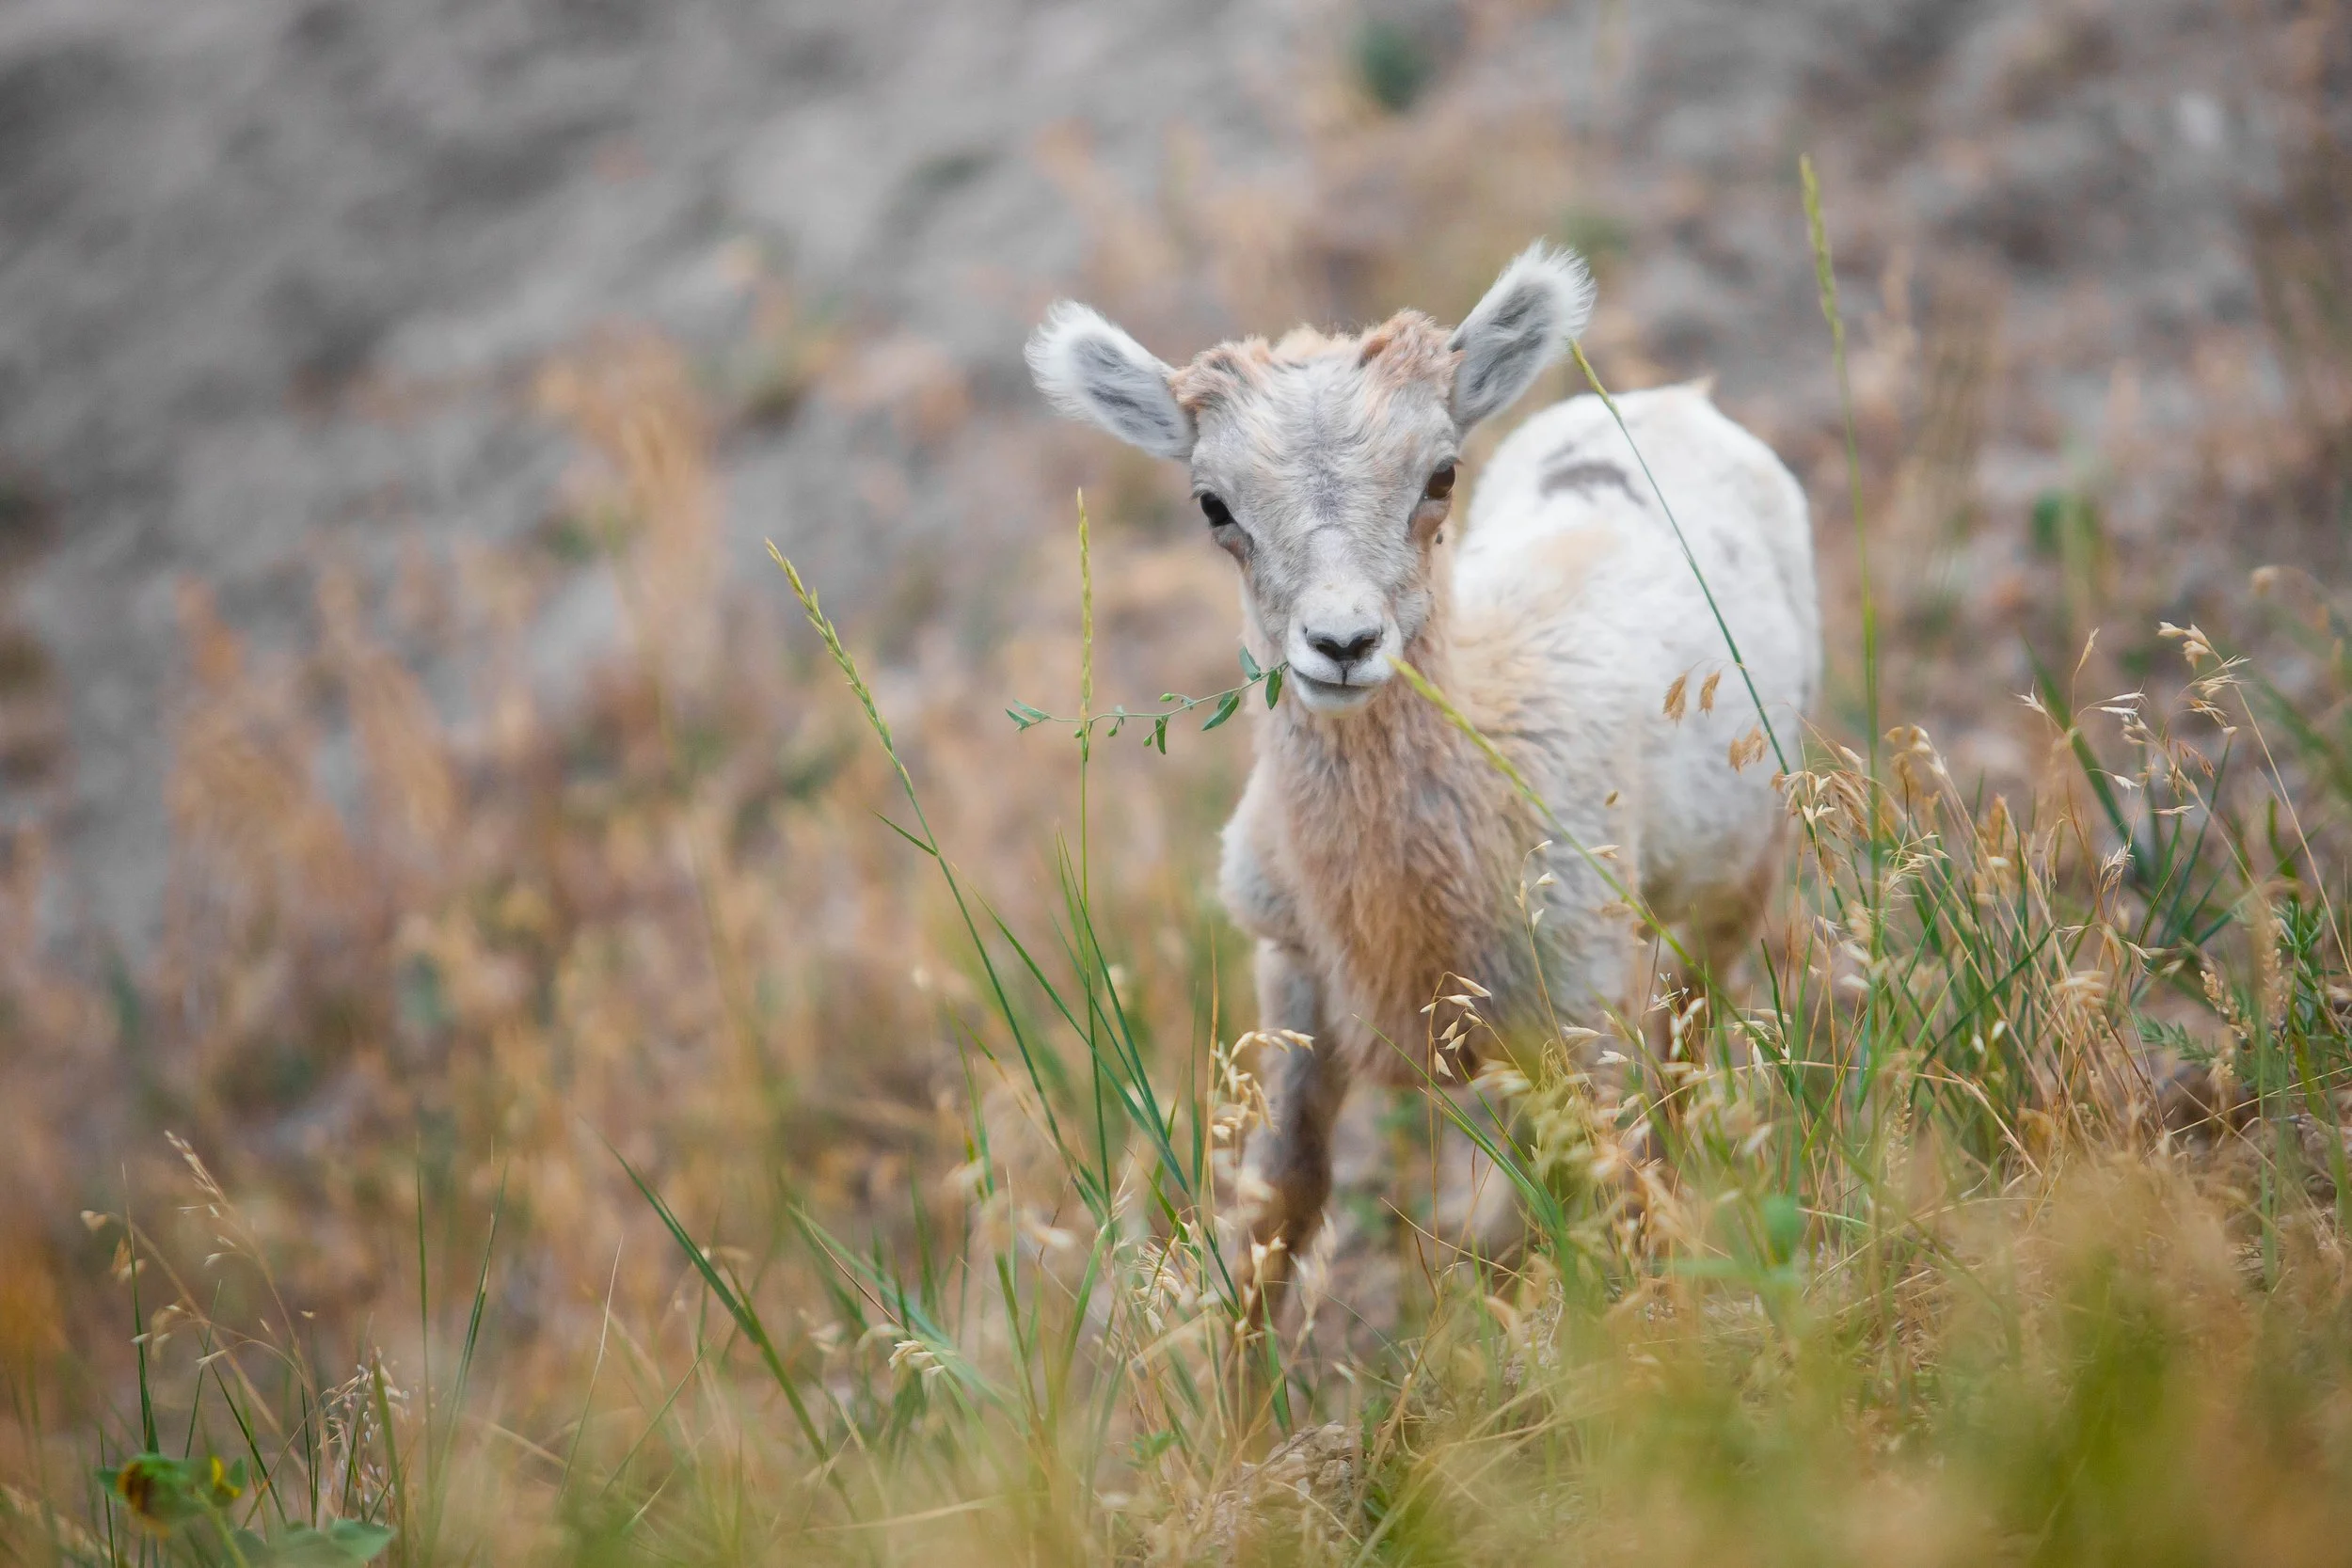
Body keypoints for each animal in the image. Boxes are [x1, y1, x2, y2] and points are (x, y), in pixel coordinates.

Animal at [1026, 244, 1820, 1308]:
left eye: (1439, 472)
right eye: (1213, 504)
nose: (1343, 642)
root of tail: (1680, 402)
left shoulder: (1583, 1009)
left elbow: (1613, 1205)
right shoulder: (1295, 984)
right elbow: (1281, 1204)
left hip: (1735, 882)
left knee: (1685, 1053)